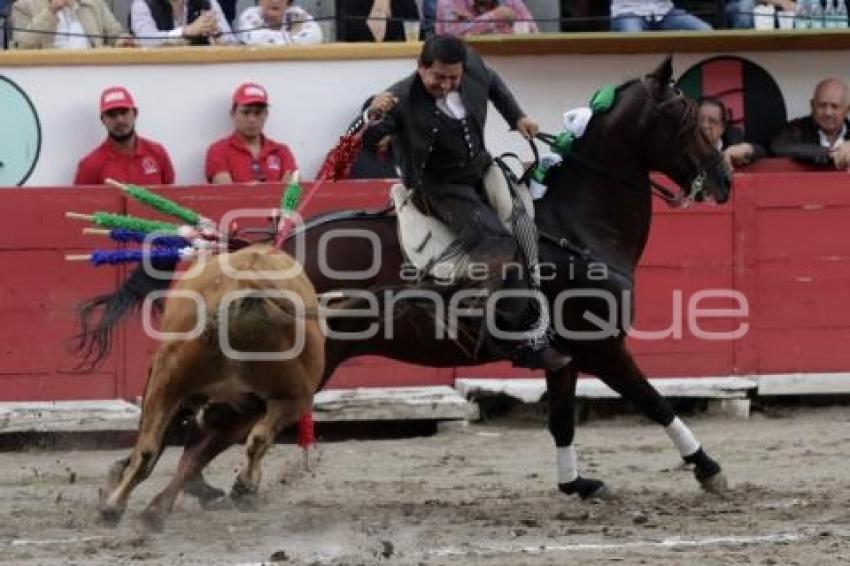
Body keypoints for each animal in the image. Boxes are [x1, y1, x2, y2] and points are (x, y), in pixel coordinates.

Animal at [97, 247, 324, 532]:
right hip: (284, 399)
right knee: (248, 441)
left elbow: (187, 456)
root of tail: (246, 286)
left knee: (151, 451)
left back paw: (118, 507)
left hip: (175, 386)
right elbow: (195, 455)